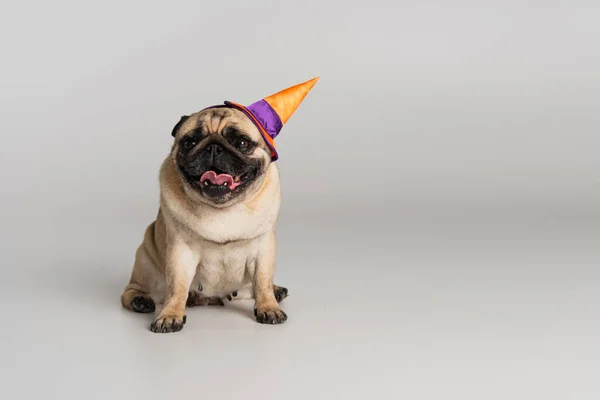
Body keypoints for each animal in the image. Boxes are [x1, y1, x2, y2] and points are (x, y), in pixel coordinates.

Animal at [119, 105, 288, 332]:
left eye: (242, 143)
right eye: (190, 142)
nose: (213, 148)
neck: (224, 209)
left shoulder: (263, 248)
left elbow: (262, 281)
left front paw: (269, 307)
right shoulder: (181, 251)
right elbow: (176, 286)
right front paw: (170, 315)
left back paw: (276, 290)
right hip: (146, 260)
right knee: (133, 290)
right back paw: (140, 300)